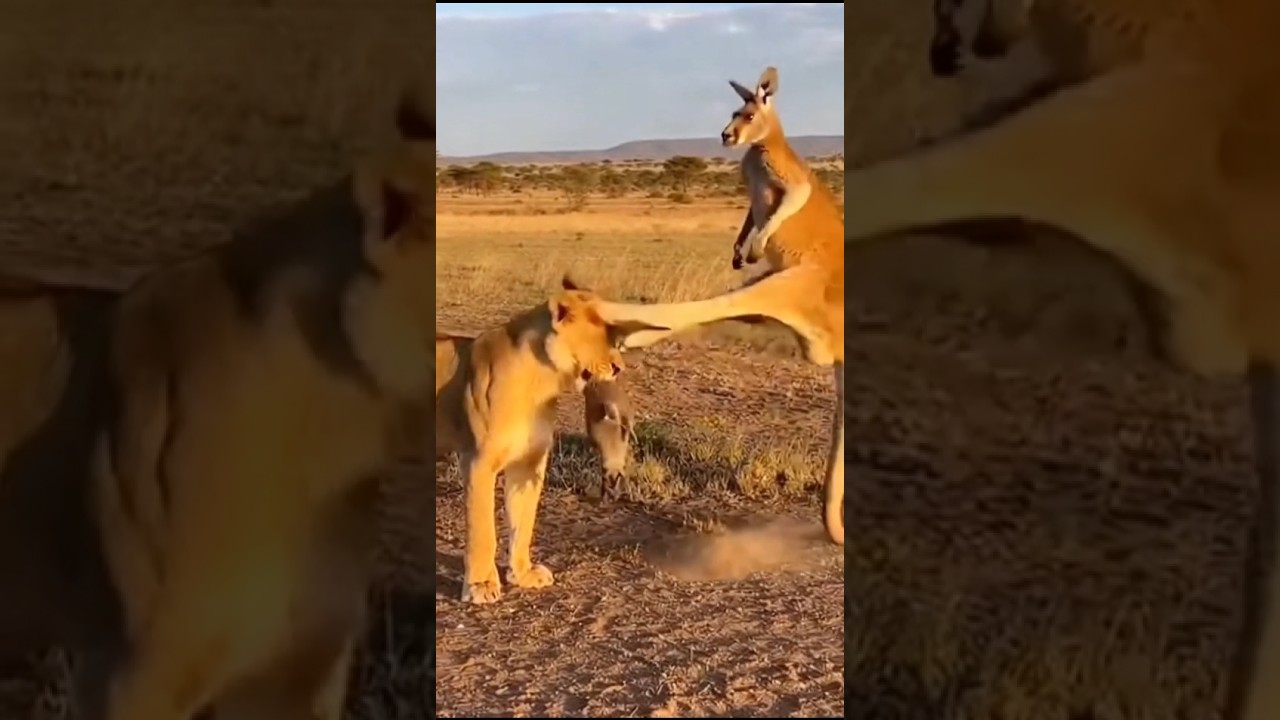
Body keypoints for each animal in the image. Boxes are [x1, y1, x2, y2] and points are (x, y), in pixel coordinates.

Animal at [434, 278, 665, 605]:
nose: (619, 367)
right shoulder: (478, 460)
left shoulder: (528, 463)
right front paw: (481, 585)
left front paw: (523, 574)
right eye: (602, 335)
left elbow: (523, 522)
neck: (542, 380)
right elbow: (482, 529)